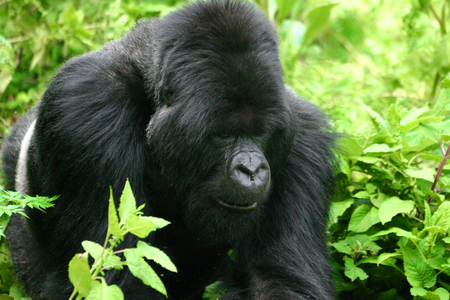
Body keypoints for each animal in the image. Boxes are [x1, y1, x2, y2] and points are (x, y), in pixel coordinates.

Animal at [1, 1, 336, 298]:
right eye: (223, 135)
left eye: (262, 133)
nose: (252, 169)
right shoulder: (85, 109)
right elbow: (109, 278)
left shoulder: (305, 136)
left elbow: (278, 279)